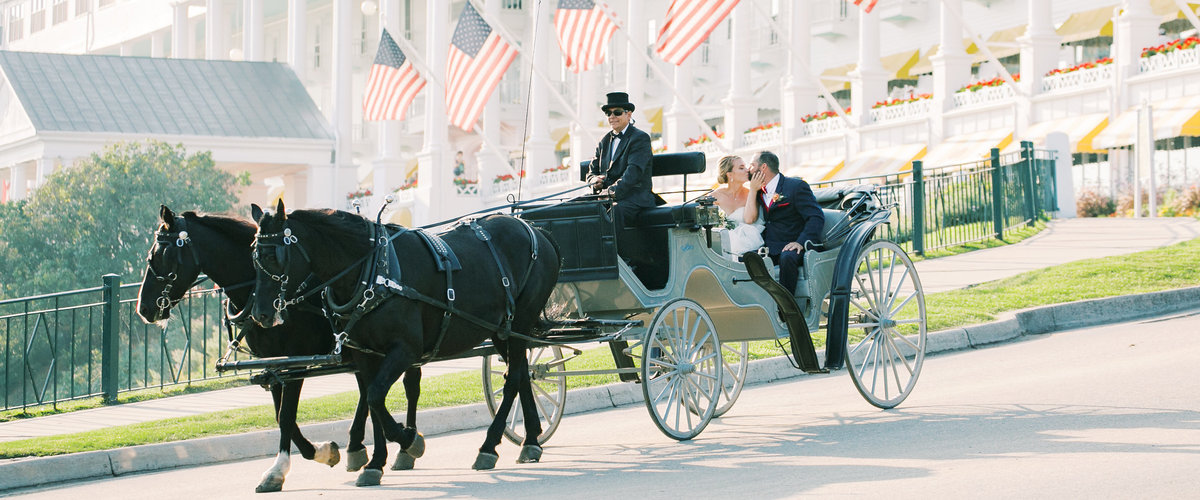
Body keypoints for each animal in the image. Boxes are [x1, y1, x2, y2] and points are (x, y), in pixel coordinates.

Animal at [135, 205, 424, 491]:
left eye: (158, 256)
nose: (144, 308)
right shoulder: (274, 363)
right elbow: (280, 415)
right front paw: (318, 452)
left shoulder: (296, 362)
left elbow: (286, 415)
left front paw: (284, 467)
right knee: (369, 391)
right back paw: (357, 447)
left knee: (408, 387)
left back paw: (402, 447)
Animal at [252, 200, 561, 474]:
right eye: (254, 256)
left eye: (272, 256)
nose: (260, 314)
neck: (372, 271)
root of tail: (534, 230)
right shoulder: (365, 354)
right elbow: (373, 400)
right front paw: (376, 463)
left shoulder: (405, 350)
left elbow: (375, 395)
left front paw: (409, 440)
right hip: (501, 330)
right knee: (522, 374)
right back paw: (531, 441)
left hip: (520, 322)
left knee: (513, 380)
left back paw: (489, 446)